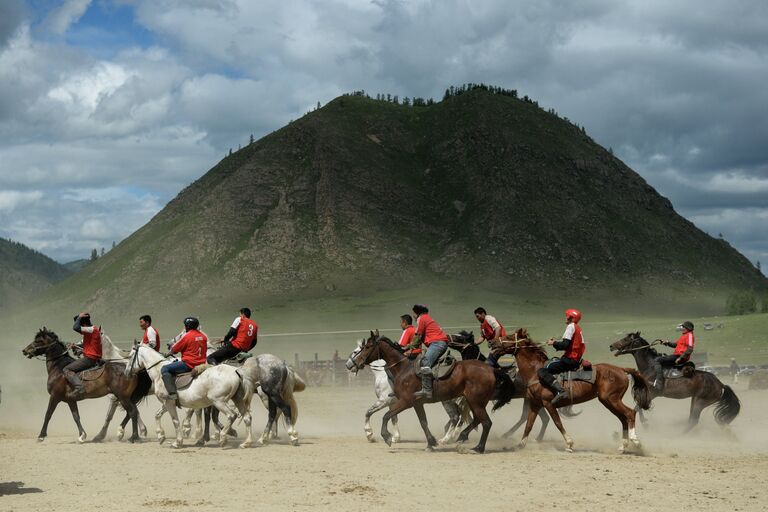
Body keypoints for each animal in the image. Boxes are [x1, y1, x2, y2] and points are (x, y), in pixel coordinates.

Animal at [124, 344, 254, 448]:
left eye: (130, 356)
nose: (126, 373)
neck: (158, 372)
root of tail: (236, 371)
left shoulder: (169, 403)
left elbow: (175, 421)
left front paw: (178, 442)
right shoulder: (166, 403)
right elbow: (157, 415)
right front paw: (161, 436)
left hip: (219, 402)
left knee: (231, 415)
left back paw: (222, 438)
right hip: (238, 400)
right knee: (247, 418)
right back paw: (246, 442)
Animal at [346, 330, 504, 454]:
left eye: (366, 347)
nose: (350, 365)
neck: (402, 369)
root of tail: (490, 369)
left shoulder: (403, 402)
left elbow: (383, 415)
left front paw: (384, 436)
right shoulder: (416, 404)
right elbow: (422, 422)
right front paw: (430, 443)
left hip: (467, 401)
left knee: (481, 421)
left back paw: (475, 447)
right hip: (473, 401)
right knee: (475, 419)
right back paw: (459, 438)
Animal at [496, 328, 652, 452]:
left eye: (509, 336)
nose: (493, 343)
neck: (535, 371)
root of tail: (621, 369)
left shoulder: (548, 403)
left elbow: (557, 423)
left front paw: (569, 444)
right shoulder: (534, 404)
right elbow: (528, 425)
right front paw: (519, 445)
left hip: (612, 399)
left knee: (630, 413)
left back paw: (635, 441)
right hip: (608, 401)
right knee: (623, 418)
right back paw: (623, 446)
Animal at [608, 330, 740, 430]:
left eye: (626, 339)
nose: (611, 346)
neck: (650, 366)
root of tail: (721, 385)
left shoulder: (652, 393)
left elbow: (637, 407)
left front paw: (645, 423)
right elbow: (638, 407)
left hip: (701, 402)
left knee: (693, 421)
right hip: (695, 399)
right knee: (691, 419)